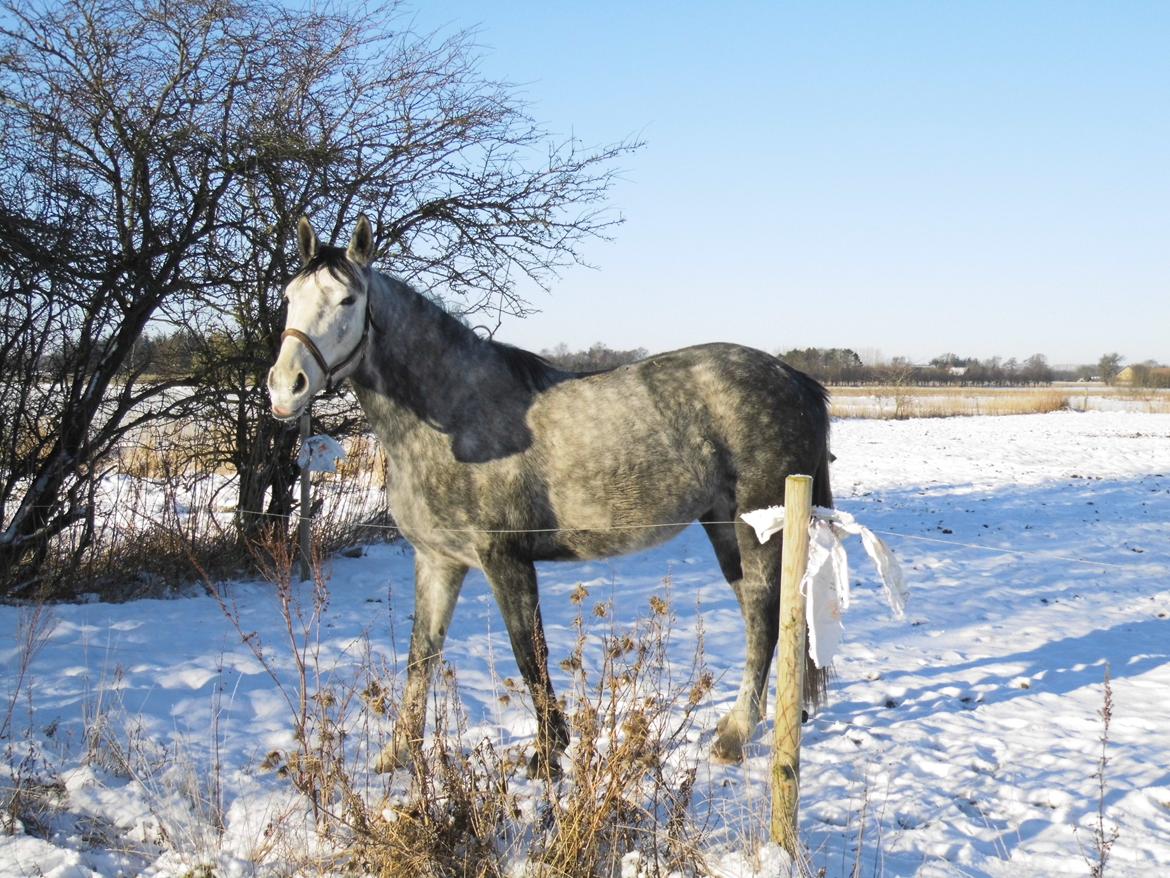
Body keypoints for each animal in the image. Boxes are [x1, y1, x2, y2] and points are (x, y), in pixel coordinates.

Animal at [267, 216, 833, 782]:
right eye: (290, 296)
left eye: (347, 300)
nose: (285, 387)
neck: (455, 416)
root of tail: (797, 381)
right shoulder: (438, 561)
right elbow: (421, 654)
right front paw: (399, 754)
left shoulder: (506, 559)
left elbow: (530, 655)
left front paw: (546, 756)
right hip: (722, 529)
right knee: (764, 618)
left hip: (754, 530)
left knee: (763, 619)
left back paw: (735, 736)